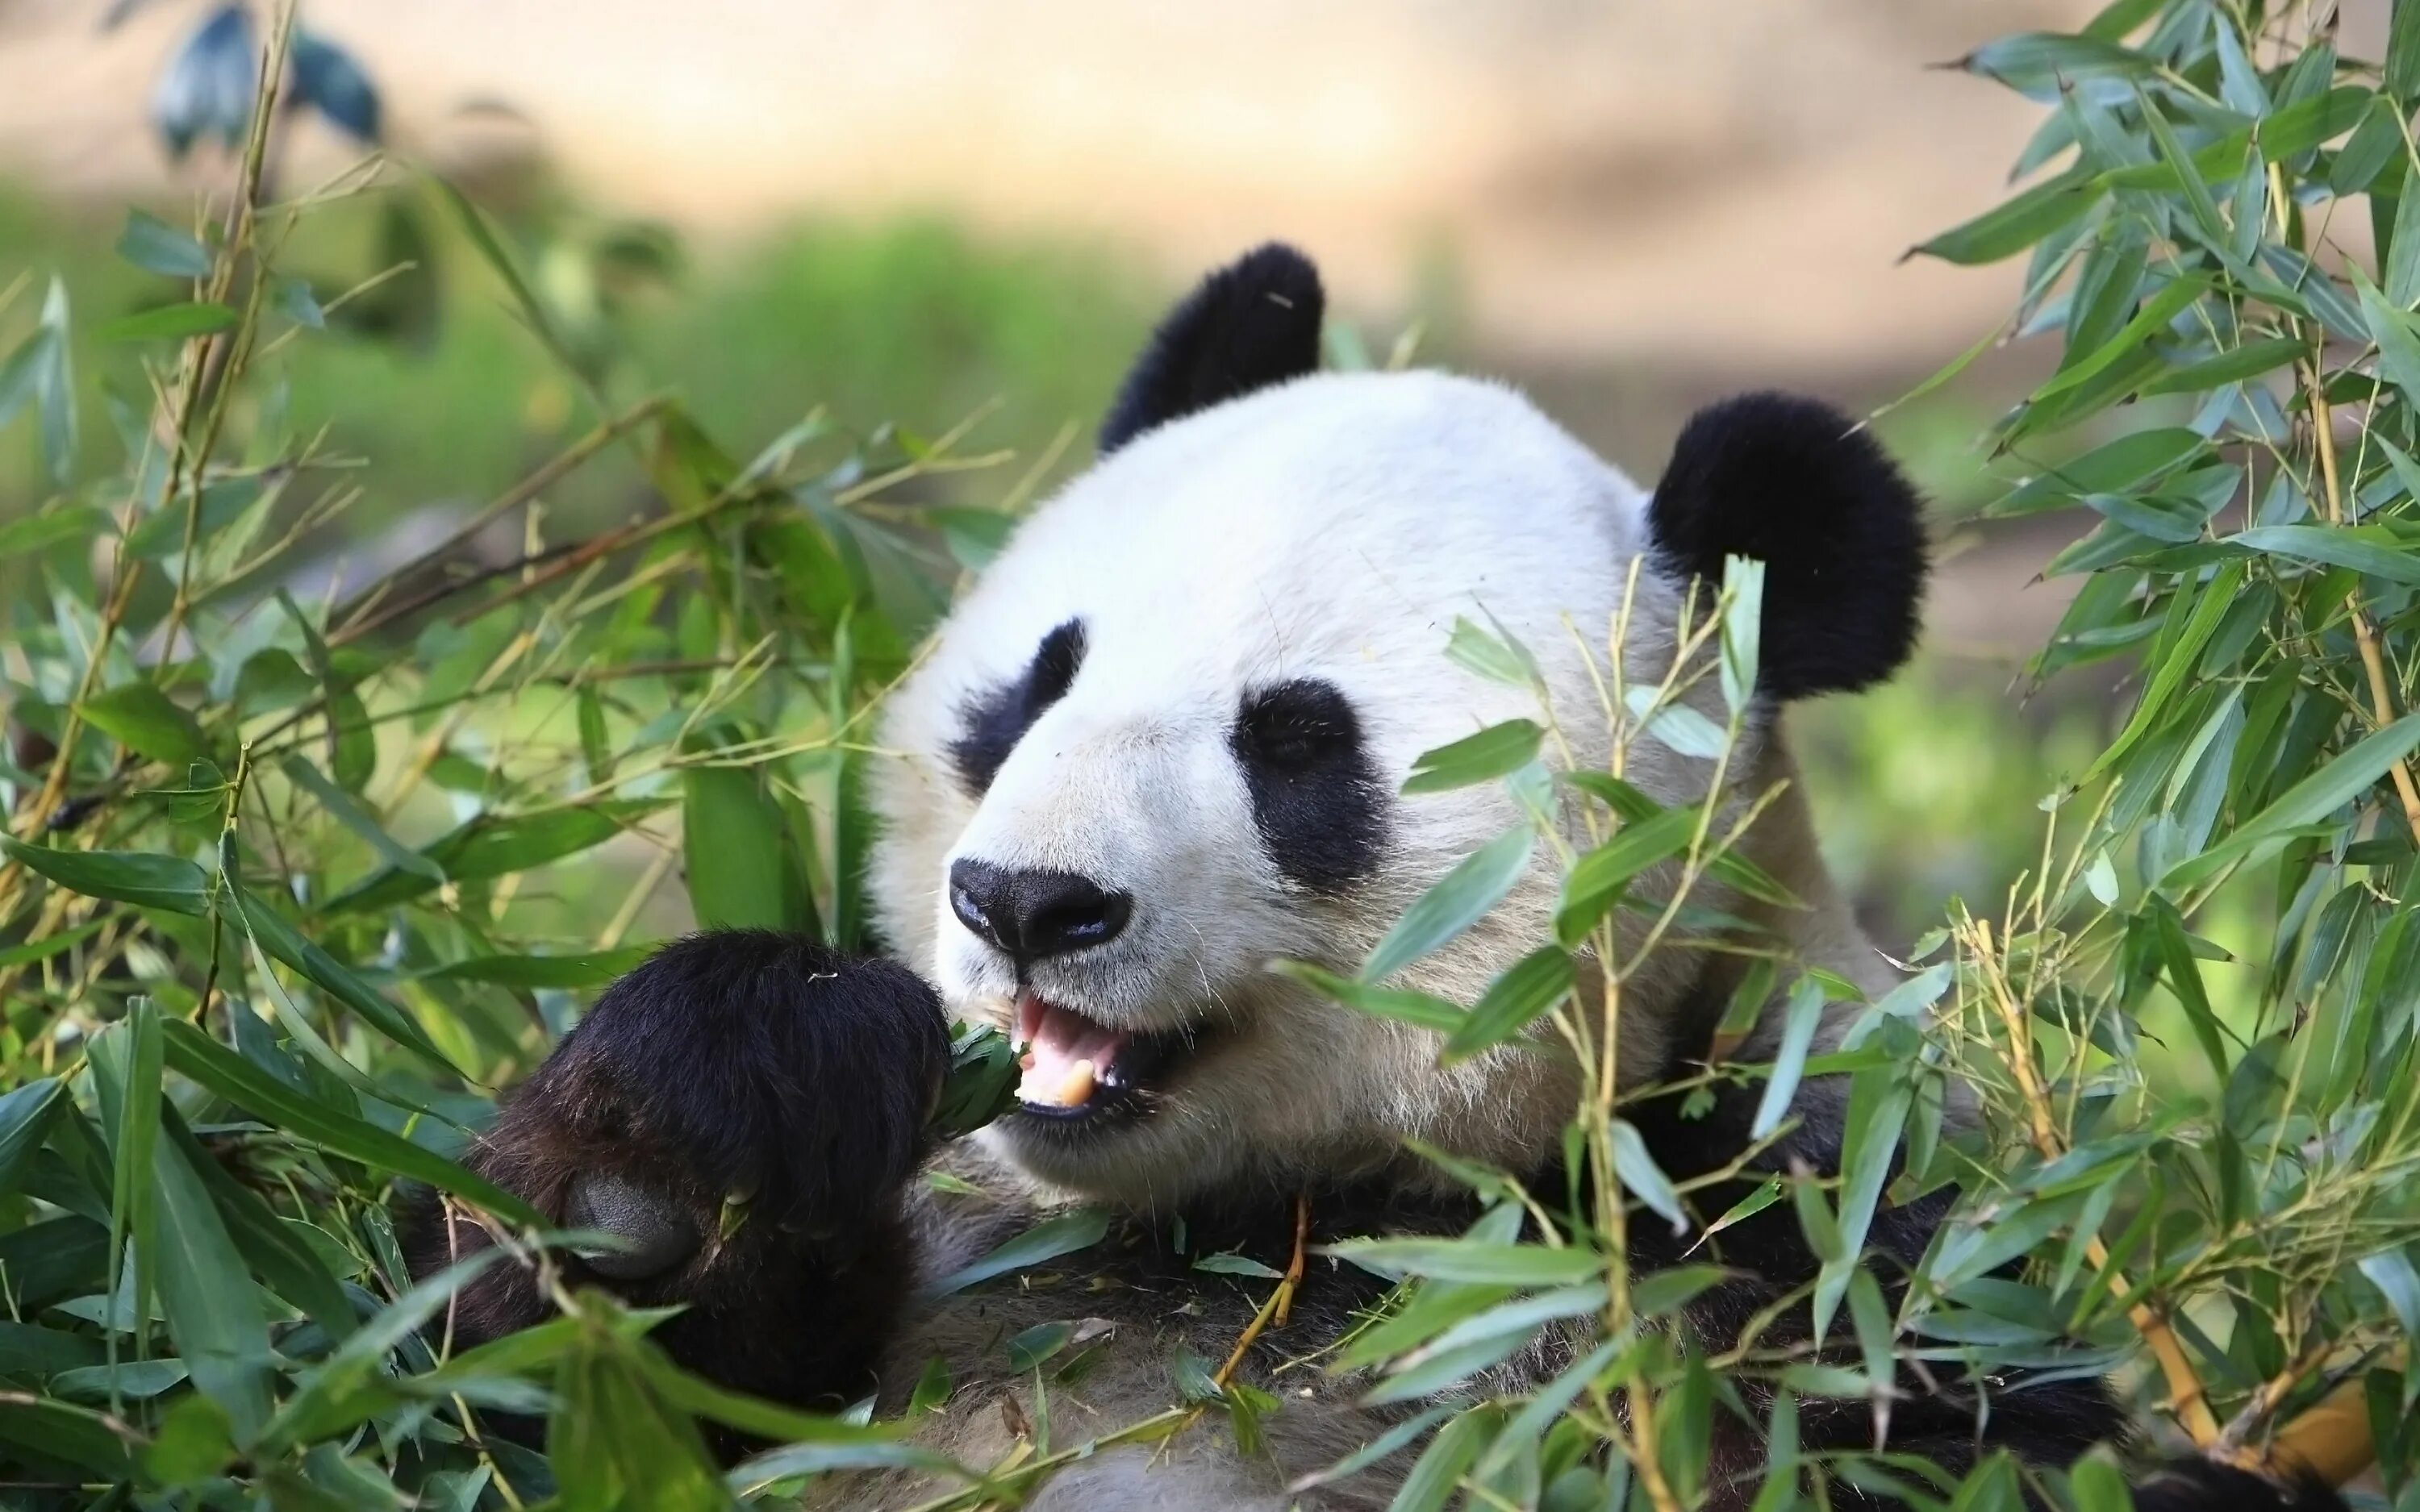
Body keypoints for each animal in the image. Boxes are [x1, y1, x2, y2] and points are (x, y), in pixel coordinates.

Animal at [407, 242, 2333, 1500]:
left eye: (1297, 745)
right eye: (1038, 680)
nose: (1027, 904)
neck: (1263, 1227)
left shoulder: (1819, 1241)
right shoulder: (952, 1249)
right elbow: (510, 1386)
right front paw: (718, 1109)